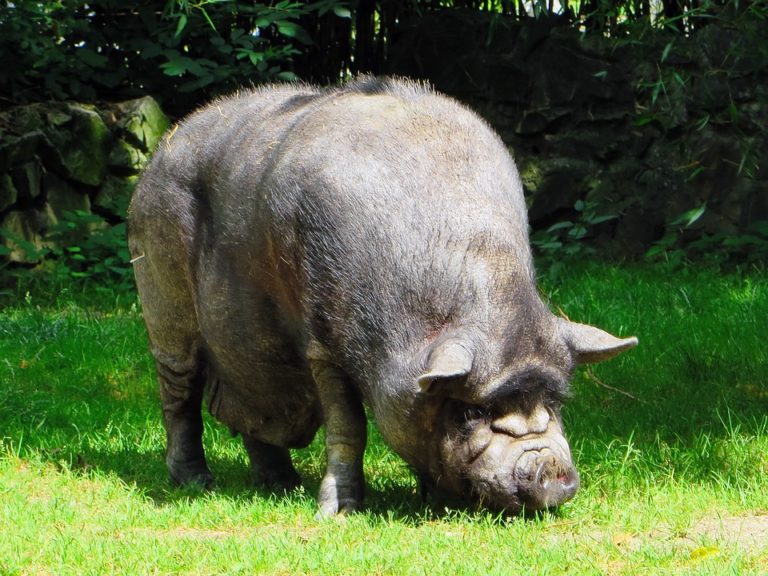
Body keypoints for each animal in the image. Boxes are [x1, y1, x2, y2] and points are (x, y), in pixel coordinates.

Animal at [127, 76, 637, 517]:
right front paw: (337, 514)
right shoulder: (323, 347)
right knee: (180, 394)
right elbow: (348, 427)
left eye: (555, 402)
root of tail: (161, 149)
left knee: (256, 407)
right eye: (472, 411)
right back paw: (195, 482)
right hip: (162, 296)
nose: (549, 469)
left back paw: (281, 486)